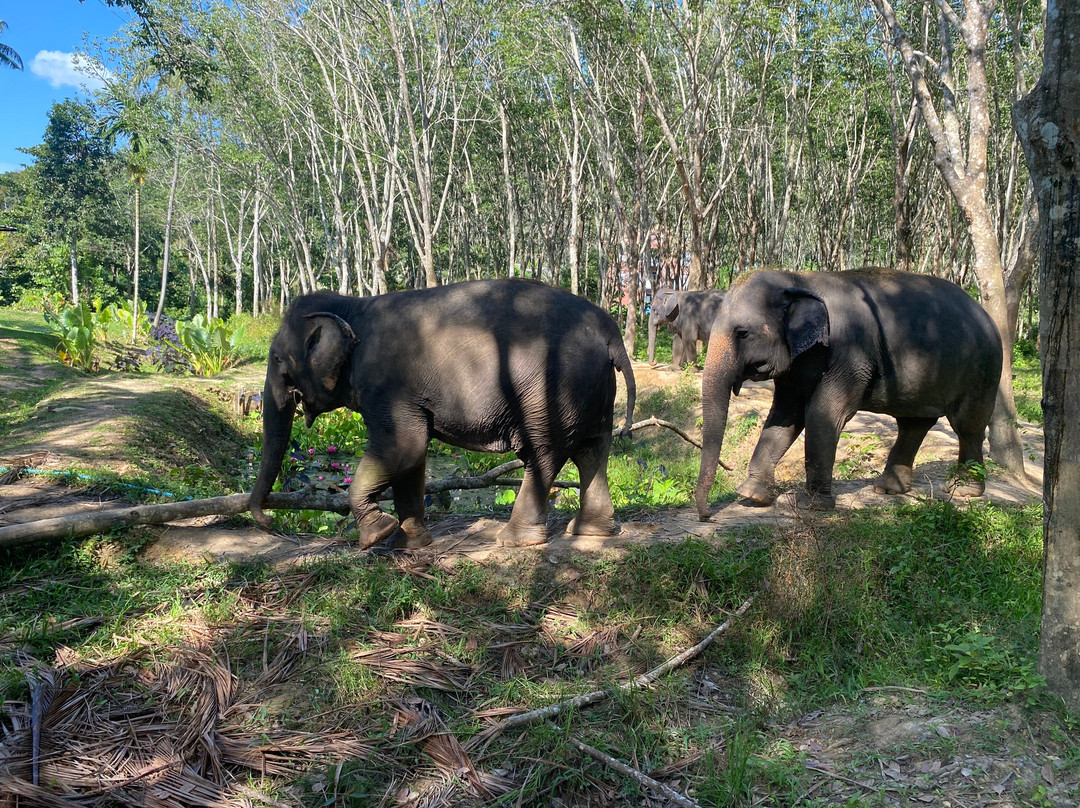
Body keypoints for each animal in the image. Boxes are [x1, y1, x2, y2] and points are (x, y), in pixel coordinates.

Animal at [249, 279, 637, 549]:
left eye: (277, 359)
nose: (268, 523)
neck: (351, 304)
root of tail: (608, 331)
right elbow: (412, 457)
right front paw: (407, 545)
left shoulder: (387, 387)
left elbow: (403, 448)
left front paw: (377, 535)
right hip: (594, 389)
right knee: (592, 450)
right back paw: (591, 532)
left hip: (551, 390)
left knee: (542, 454)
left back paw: (515, 540)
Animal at [695, 268, 1002, 519]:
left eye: (743, 333)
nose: (707, 515)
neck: (800, 278)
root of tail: (986, 314)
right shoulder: (798, 362)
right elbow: (784, 415)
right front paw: (751, 494)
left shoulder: (850, 353)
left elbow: (822, 414)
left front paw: (814, 505)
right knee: (913, 423)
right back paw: (889, 489)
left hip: (983, 368)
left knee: (967, 426)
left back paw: (963, 491)